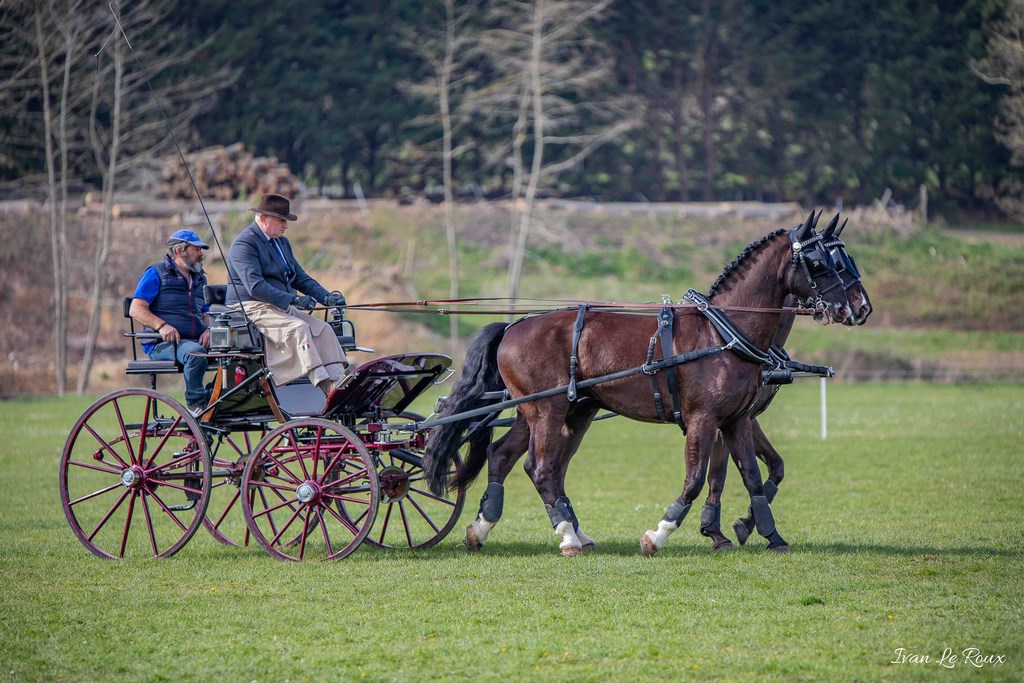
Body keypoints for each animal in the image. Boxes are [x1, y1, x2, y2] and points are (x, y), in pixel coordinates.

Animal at [425, 218, 856, 557]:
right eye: (822, 262)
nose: (858, 307)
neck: (724, 333)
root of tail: (514, 324)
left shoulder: (735, 421)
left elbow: (750, 476)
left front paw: (768, 534)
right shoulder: (704, 419)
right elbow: (697, 479)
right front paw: (660, 534)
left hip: (549, 411)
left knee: (504, 457)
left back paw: (486, 529)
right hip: (547, 410)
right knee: (541, 467)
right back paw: (567, 536)